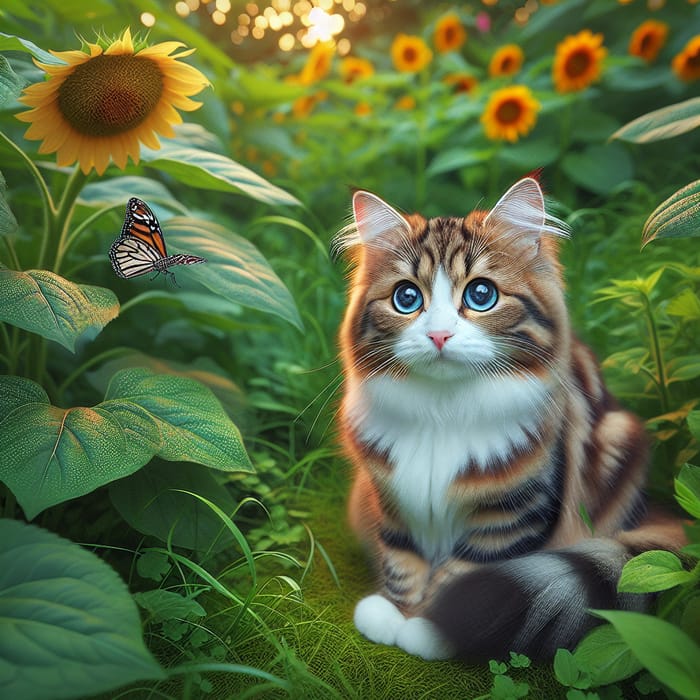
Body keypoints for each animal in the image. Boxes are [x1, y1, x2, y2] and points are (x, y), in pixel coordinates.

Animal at [336, 176, 688, 660]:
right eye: (406, 298)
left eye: (481, 294)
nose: (438, 335)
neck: (442, 412)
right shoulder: (388, 498)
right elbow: (402, 559)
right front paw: (395, 613)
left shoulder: (514, 514)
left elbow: (463, 572)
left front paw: (431, 627)